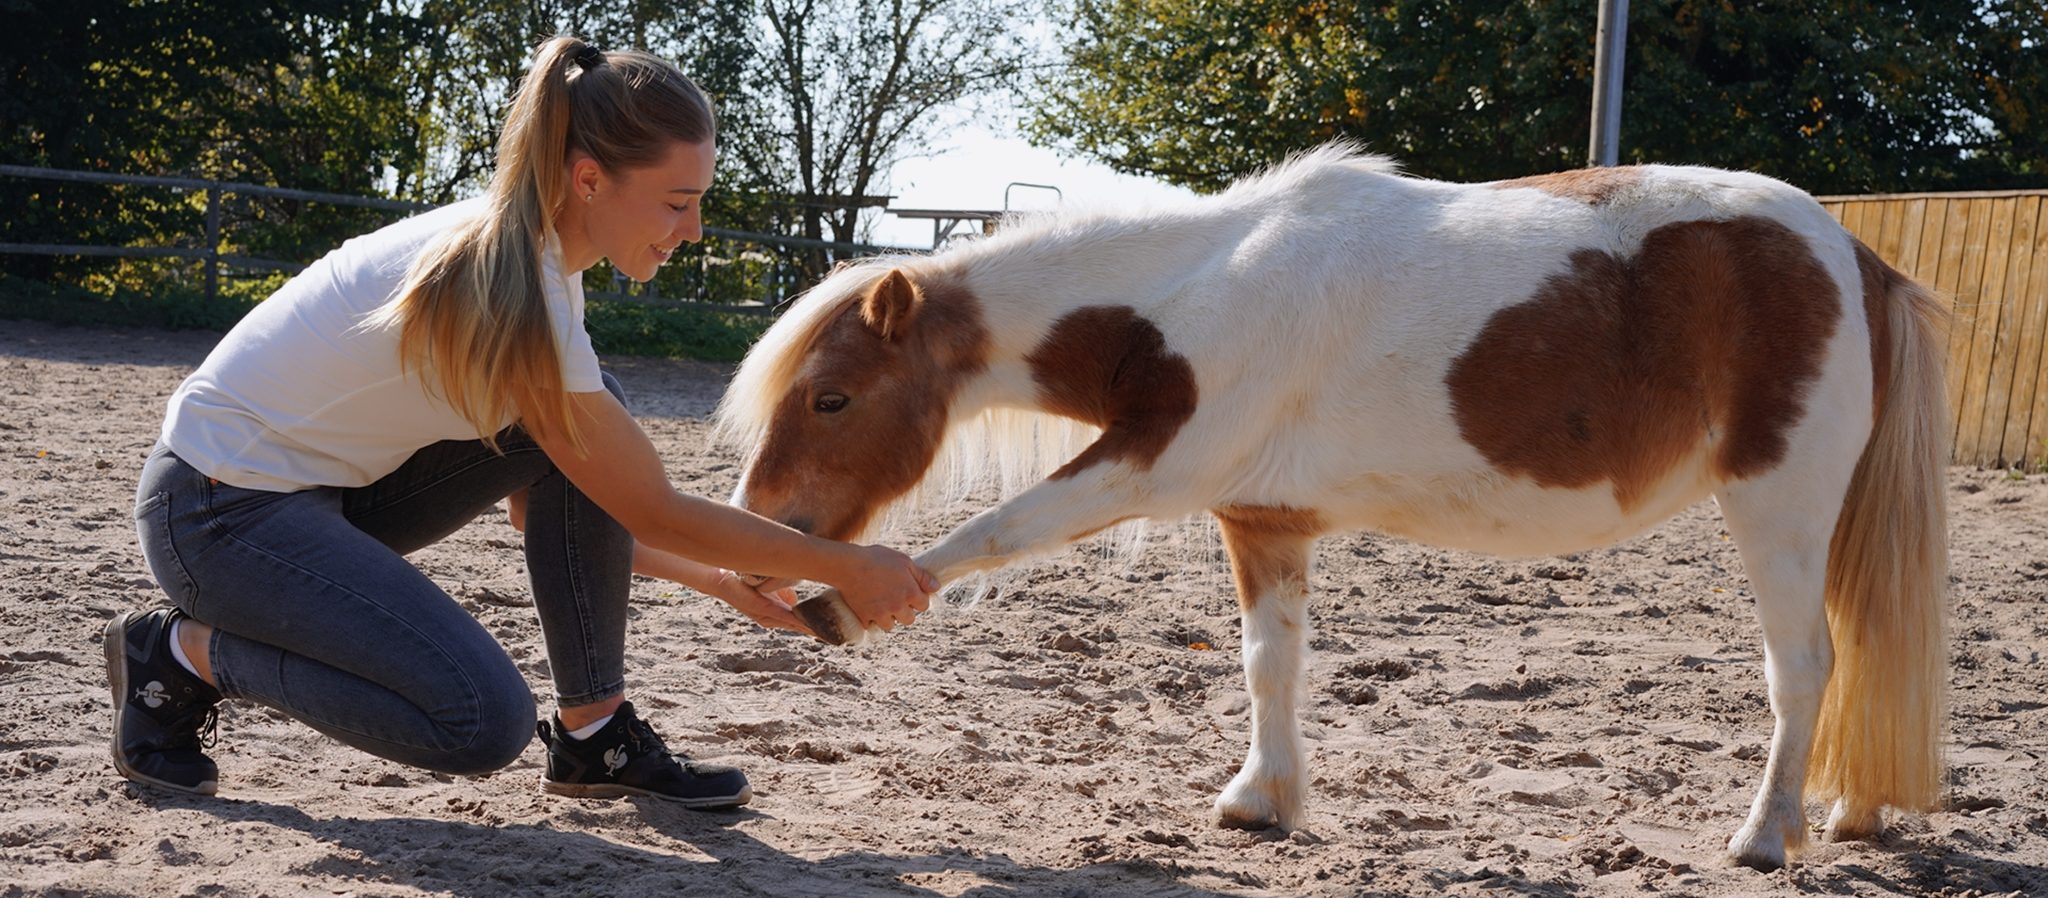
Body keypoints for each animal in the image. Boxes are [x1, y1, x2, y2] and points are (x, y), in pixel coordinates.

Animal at [711, 145, 1950, 871]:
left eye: (831, 396)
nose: (762, 527)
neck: (1201, 294)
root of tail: (1850, 253)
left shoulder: (1149, 468)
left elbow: (991, 533)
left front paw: (846, 605)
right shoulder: (1260, 518)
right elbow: (1269, 663)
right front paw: (1260, 800)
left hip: (1777, 509)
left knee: (1800, 667)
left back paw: (1762, 836)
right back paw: (1848, 812)